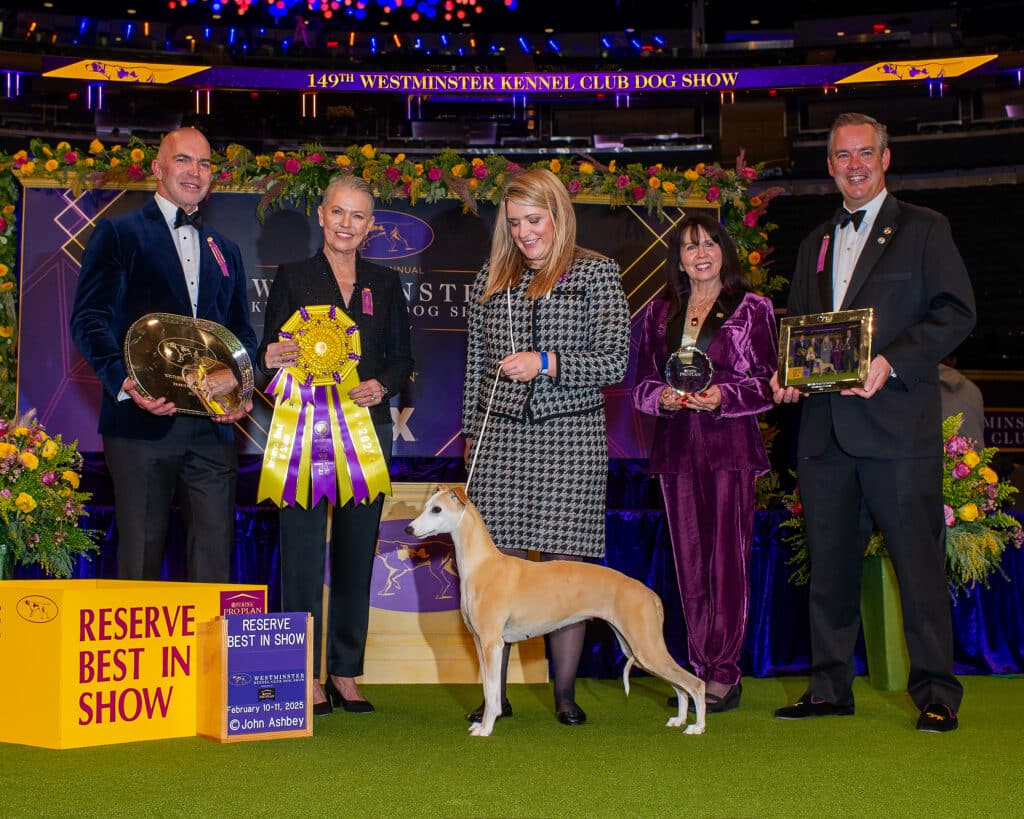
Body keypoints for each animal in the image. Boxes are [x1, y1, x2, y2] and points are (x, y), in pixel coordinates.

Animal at [403, 483, 708, 737]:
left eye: (437, 509)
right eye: (426, 505)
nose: (408, 530)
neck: (483, 564)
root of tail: (649, 593)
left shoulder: (492, 644)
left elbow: (492, 690)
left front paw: (486, 728)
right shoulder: (480, 643)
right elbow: (489, 690)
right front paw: (484, 721)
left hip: (646, 647)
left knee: (695, 683)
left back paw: (697, 727)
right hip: (638, 649)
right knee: (680, 685)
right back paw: (679, 720)